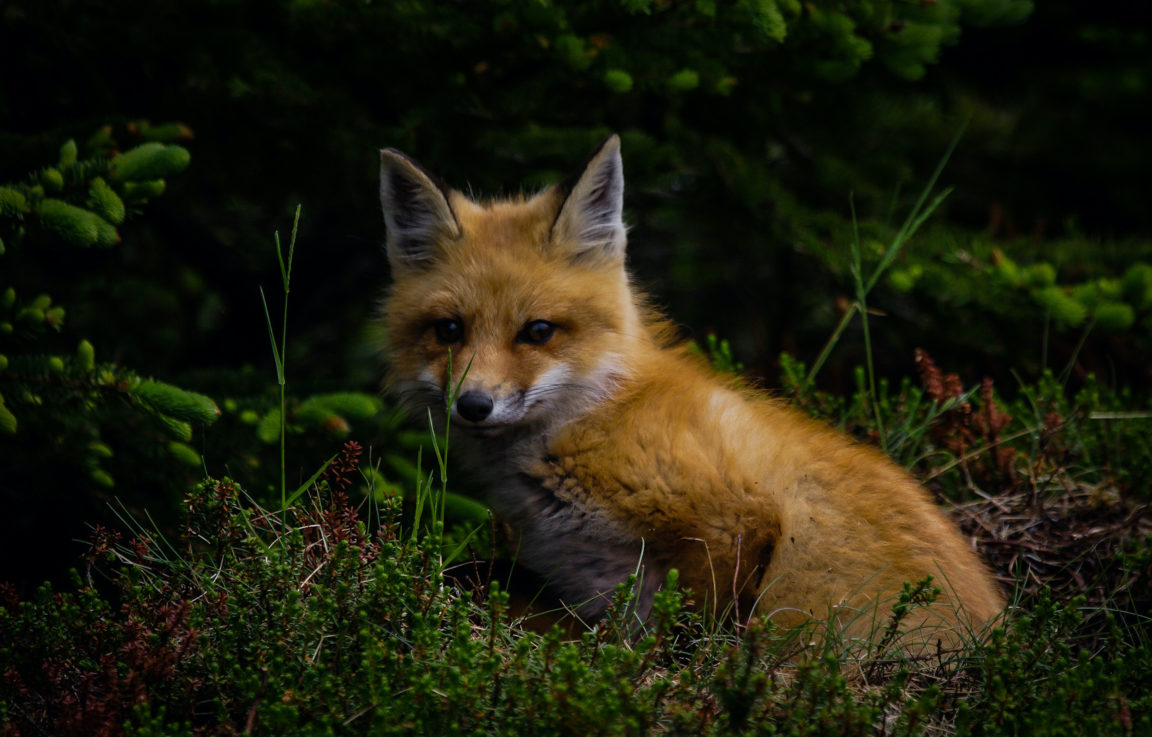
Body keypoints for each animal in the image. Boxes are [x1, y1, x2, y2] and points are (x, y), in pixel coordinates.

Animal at [378, 135, 1005, 647]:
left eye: (537, 331)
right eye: (449, 330)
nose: (474, 405)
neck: (594, 416)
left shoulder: (735, 523)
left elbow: (691, 636)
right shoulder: (595, 588)